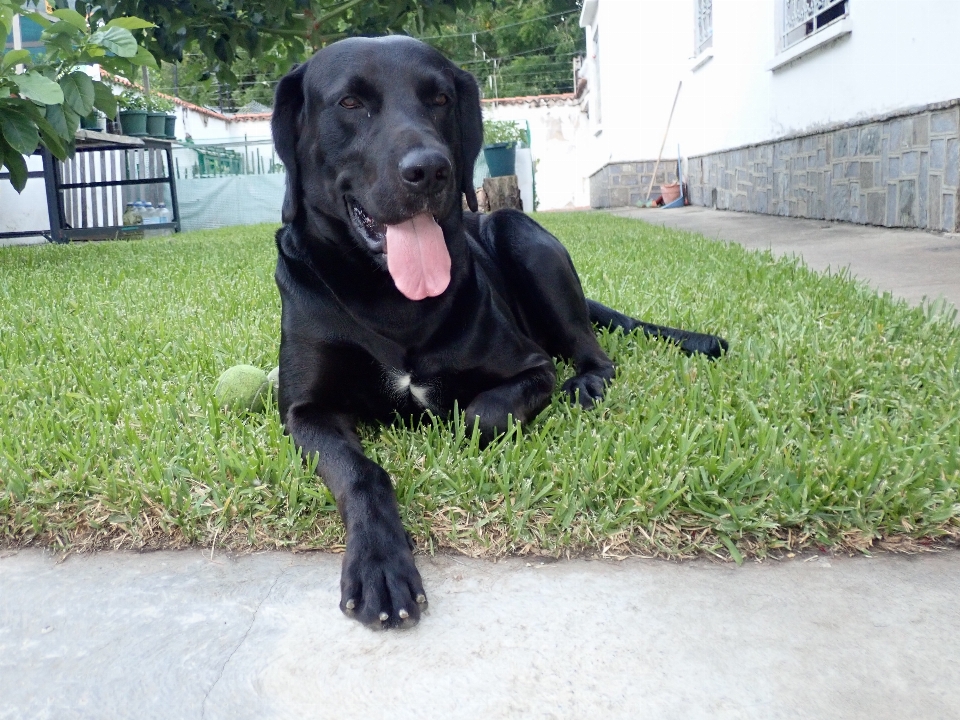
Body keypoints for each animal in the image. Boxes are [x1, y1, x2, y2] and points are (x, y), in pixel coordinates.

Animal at [270, 36, 728, 628]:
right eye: (350, 103)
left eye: (439, 98)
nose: (431, 170)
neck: (389, 297)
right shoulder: (305, 411)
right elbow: (358, 471)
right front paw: (378, 563)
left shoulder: (532, 366)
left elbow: (479, 417)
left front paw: (455, 419)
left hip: (520, 234)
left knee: (592, 349)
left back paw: (589, 382)